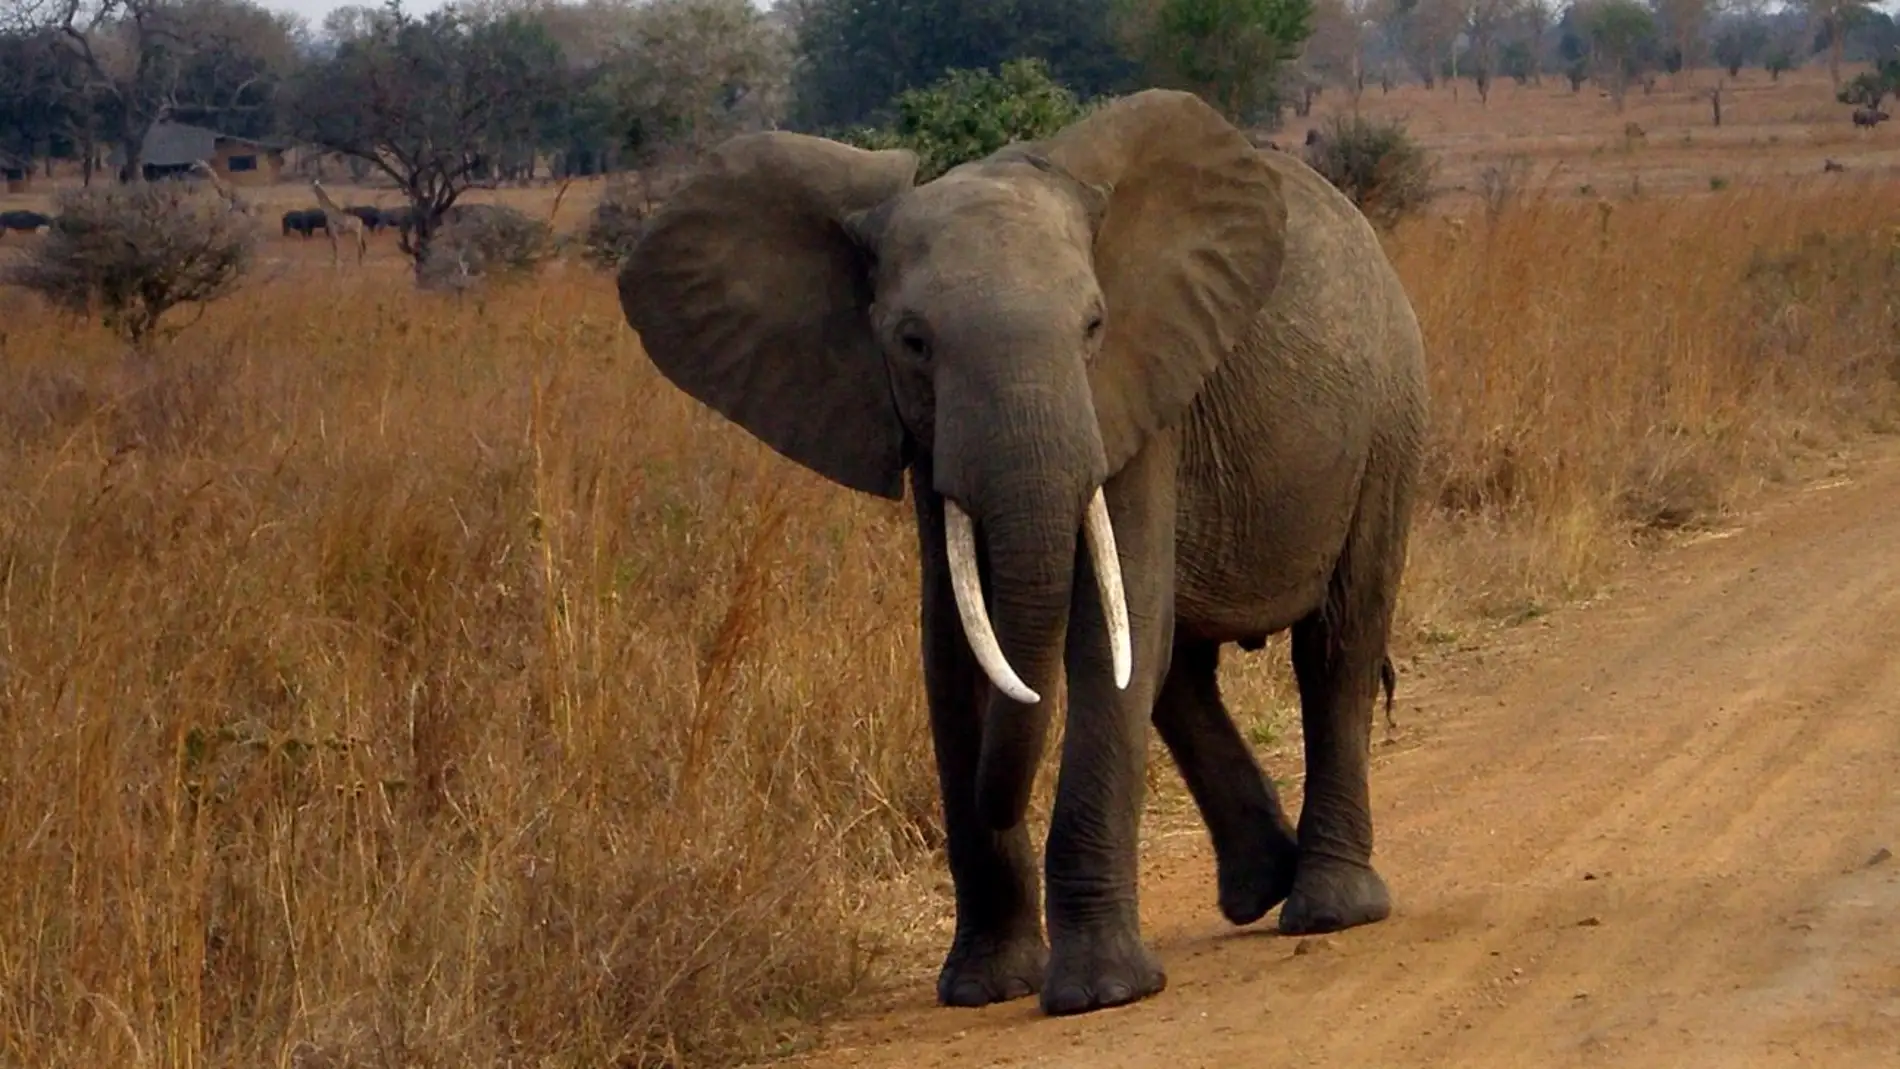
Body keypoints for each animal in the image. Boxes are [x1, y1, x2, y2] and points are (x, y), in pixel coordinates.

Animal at [615, 87, 1428, 1017]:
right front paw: (986, 985)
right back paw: (1262, 885)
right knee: (1178, 671)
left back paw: (1327, 908)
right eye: (912, 342)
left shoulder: (1136, 395)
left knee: (1334, 645)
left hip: (1390, 414)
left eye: (1094, 324)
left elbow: (1104, 638)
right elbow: (957, 649)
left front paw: (1101, 993)